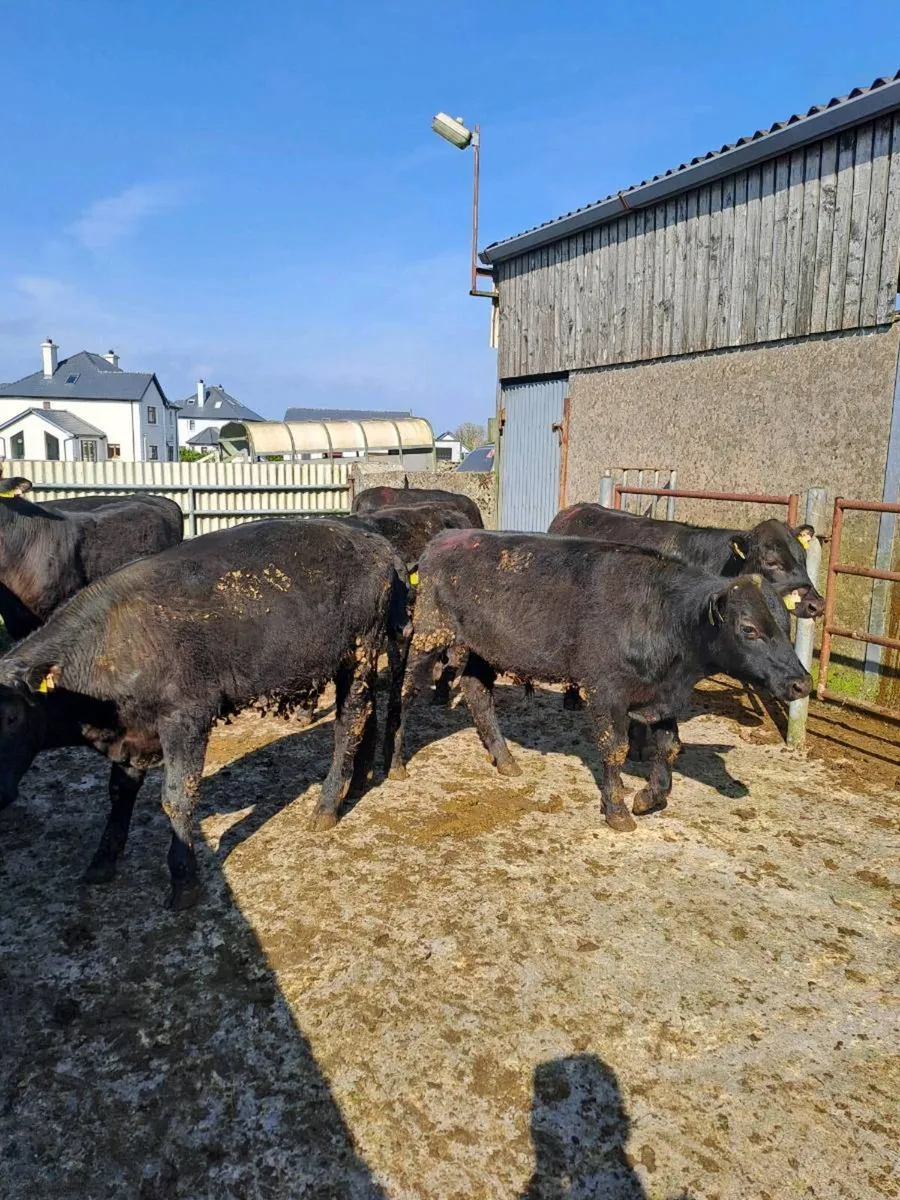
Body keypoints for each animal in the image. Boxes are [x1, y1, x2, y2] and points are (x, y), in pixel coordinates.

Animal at [0, 518, 409, 909]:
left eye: (11, 717)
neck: (112, 644)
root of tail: (378, 543)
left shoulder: (186, 718)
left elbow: (177, 796)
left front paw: (184, 881)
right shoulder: (131, 734)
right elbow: (119, 793)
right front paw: (102, 862)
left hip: (359, 651)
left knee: (349, 721)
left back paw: (326, 806)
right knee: (366, 713)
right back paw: (357, 782)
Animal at [385, 530, 810, 831]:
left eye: (786, 625)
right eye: (748, 629)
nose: (801, 684)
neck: (661, 614)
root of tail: (443, 539)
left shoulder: (662, 697)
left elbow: (668, 749)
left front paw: (648, 797)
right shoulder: (605, 693)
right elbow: (614, 749)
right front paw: (618, 810)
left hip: (481, 649)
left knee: (477, 694)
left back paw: (505, 760)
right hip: (429, 636)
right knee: (405, 692)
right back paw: (397, 764)